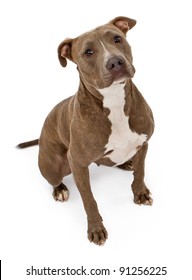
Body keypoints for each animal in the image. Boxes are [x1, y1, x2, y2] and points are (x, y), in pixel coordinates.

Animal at [17, 17, 154, 245]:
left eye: (117, 38)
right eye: (88, 52)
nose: (115, 62)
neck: (114, 101)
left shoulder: (143, 143)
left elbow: (141, 173)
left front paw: (140, 194)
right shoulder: (78, 164)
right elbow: (89, 199)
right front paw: (96, 228)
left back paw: (126, 162)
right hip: (54, 166)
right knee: (54, 179)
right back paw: (60, 190)